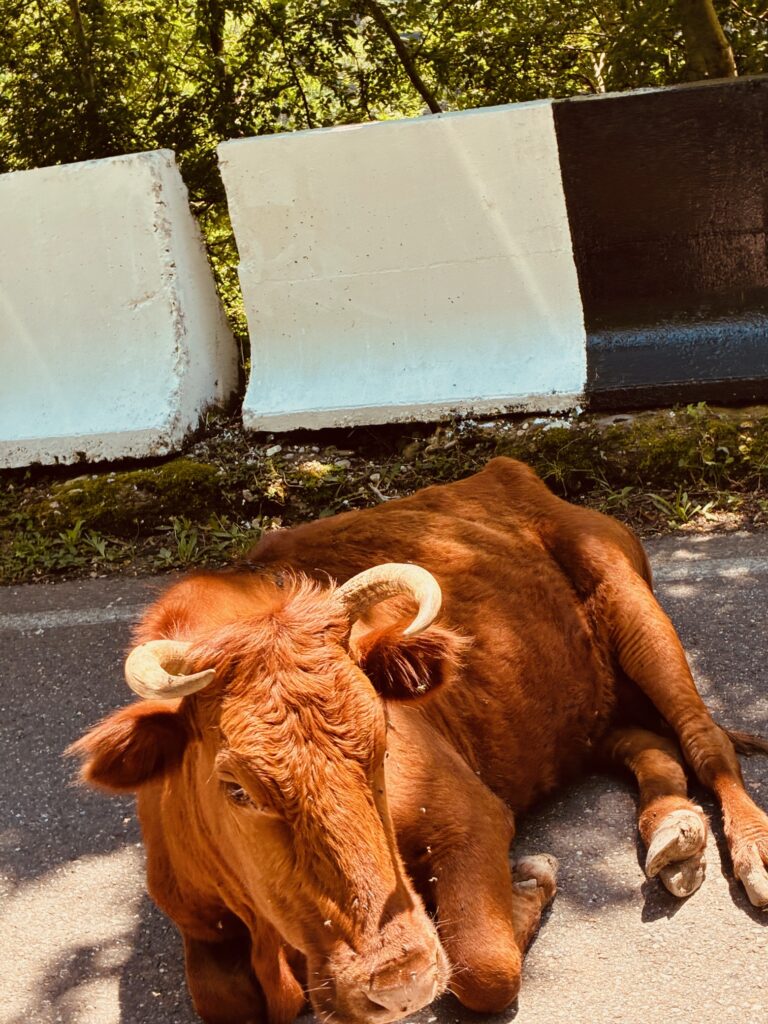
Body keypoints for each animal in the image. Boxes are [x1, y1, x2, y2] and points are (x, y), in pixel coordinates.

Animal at [70, 457, 768, 1024]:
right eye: (236, 788)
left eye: (382, 743)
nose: (398, 978)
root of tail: (505, 474)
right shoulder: (196, 919)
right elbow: (224, 1001)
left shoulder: (469, 815)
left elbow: (480, 965)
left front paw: (530, 881)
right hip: (573, 714)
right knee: (648, 743)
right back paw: (674, 830)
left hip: (632, 605)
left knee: (704, 739)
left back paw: (750, 853)